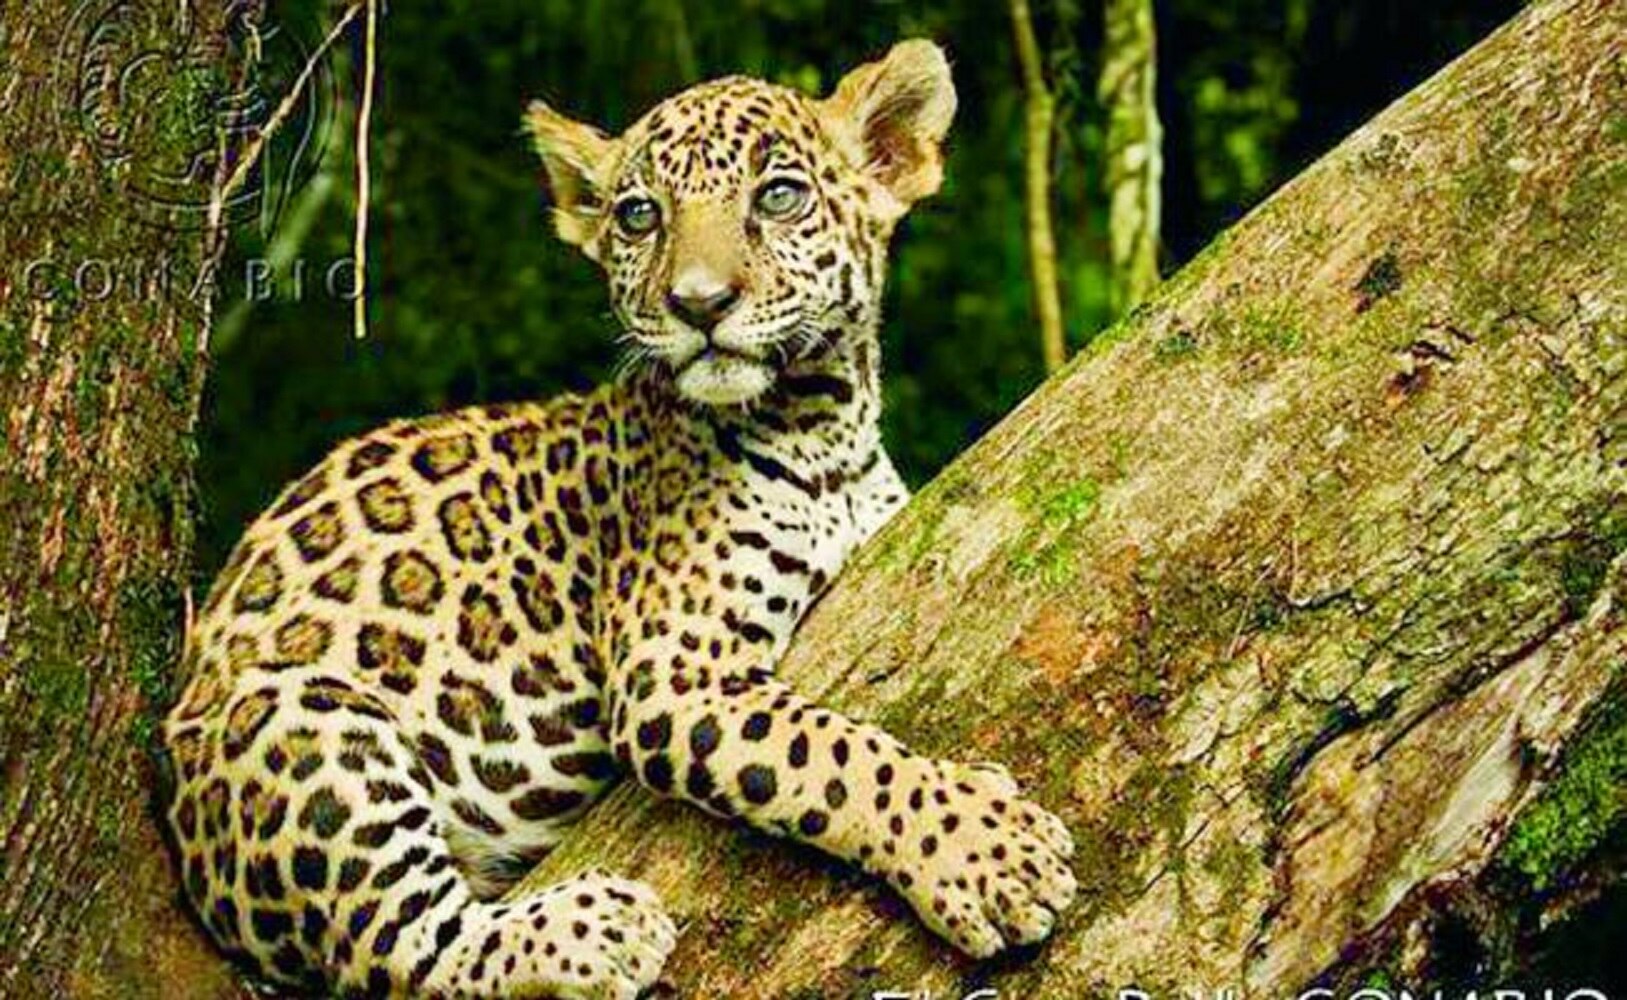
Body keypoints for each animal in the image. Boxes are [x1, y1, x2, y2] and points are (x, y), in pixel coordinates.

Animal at [162, 39, 1077, 999]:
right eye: (640, 216)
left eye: (778, 196)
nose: (698, 304)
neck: (825, 431)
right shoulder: (676, 671)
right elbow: (837, 754)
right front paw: (986, 850)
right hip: (297, 723)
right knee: (403, 948)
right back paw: (595, 928)